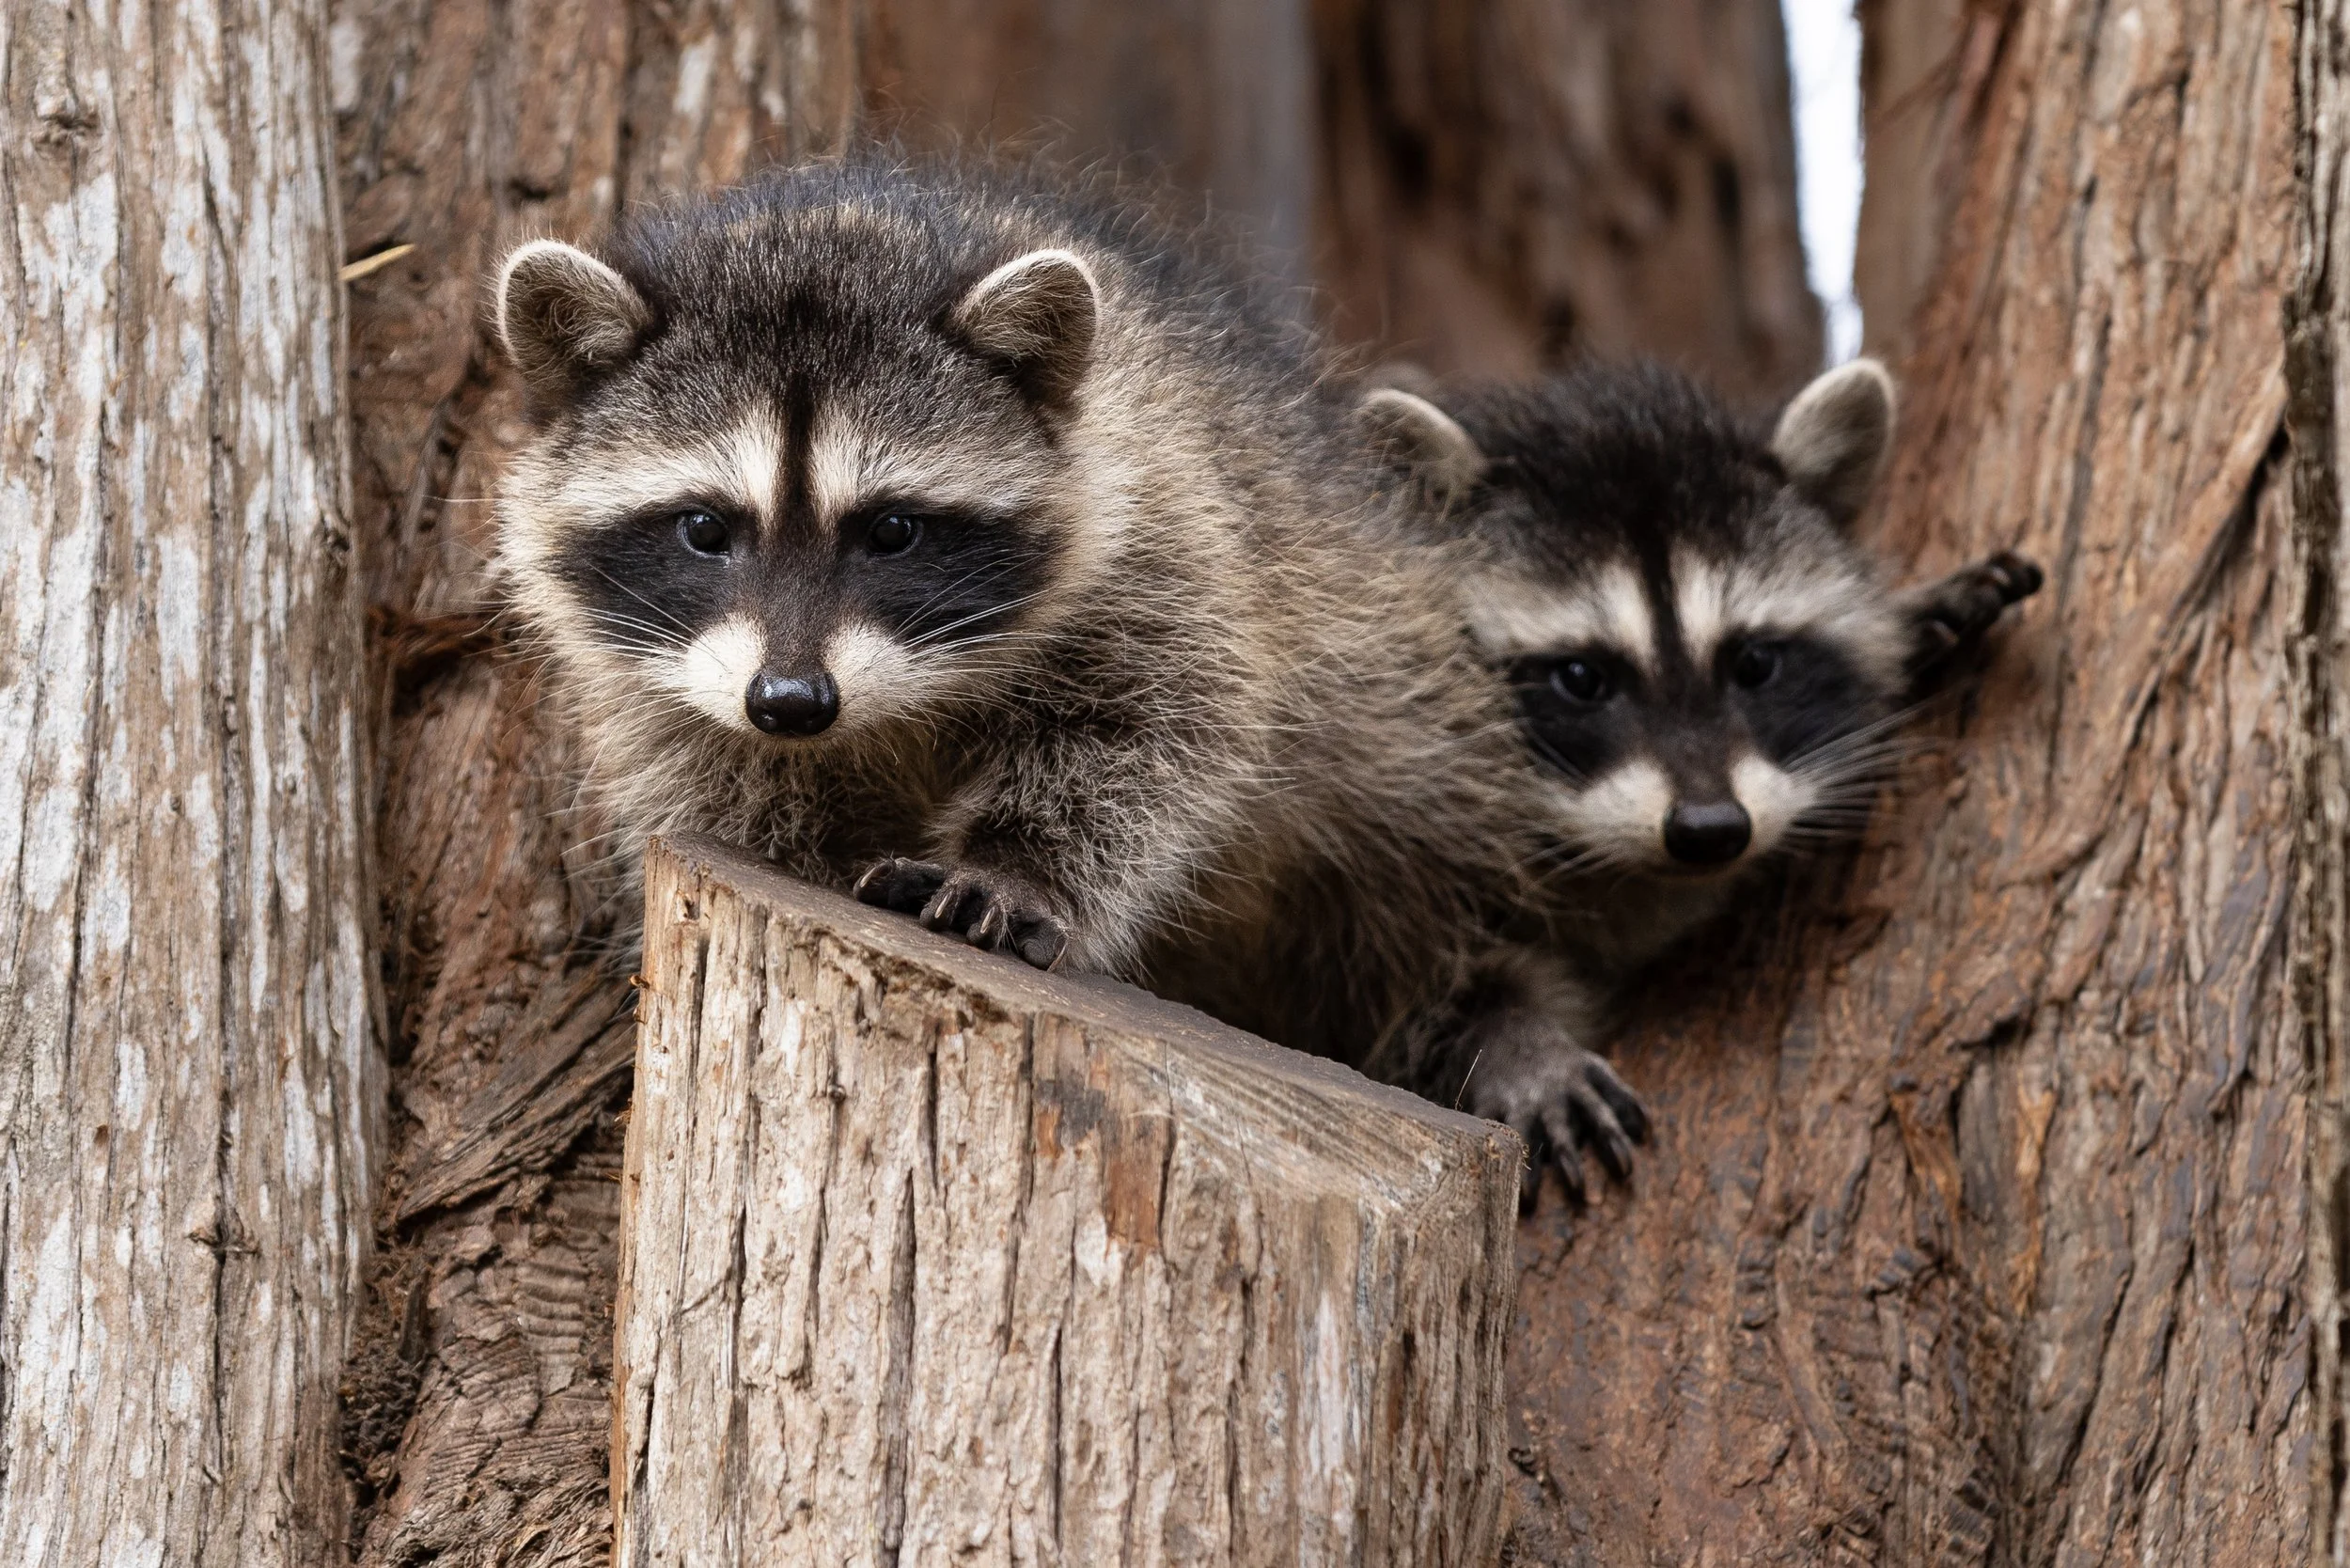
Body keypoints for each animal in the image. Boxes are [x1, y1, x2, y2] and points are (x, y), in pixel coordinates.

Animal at [491, 159, 1541, 1054]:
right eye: (705, 528)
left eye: (893, 531)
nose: (791, 702)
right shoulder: (658, 678)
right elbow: (712, 785)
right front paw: (804, 857)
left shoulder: (1164, 519)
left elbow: (1152, 722)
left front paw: (1017, 864)